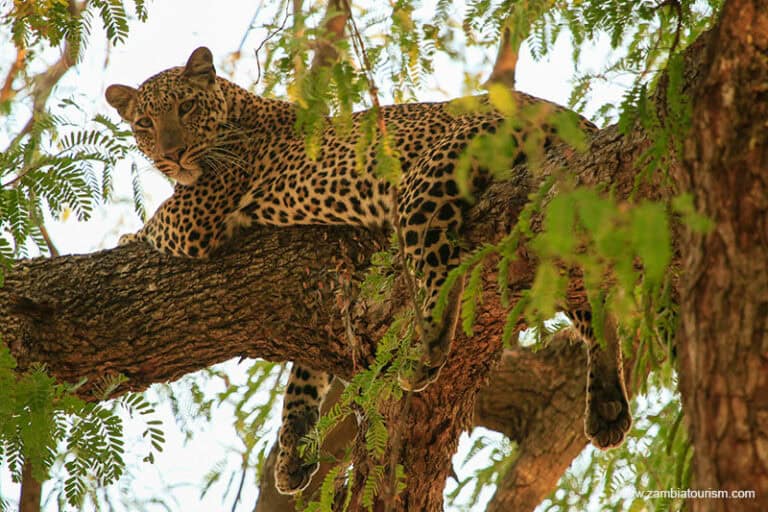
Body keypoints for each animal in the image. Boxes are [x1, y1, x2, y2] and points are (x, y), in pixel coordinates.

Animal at [105, 46, 632, 495]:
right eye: (144, 122)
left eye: (186, 108)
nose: (170, 155)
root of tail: (560, 112)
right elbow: (303, 377)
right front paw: (294, 452)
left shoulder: (195, 215)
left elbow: (152, 224)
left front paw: (125, 239)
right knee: (593, 300)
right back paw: (607, 406)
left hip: (428, 183)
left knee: (443, 271)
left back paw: (426, 352)